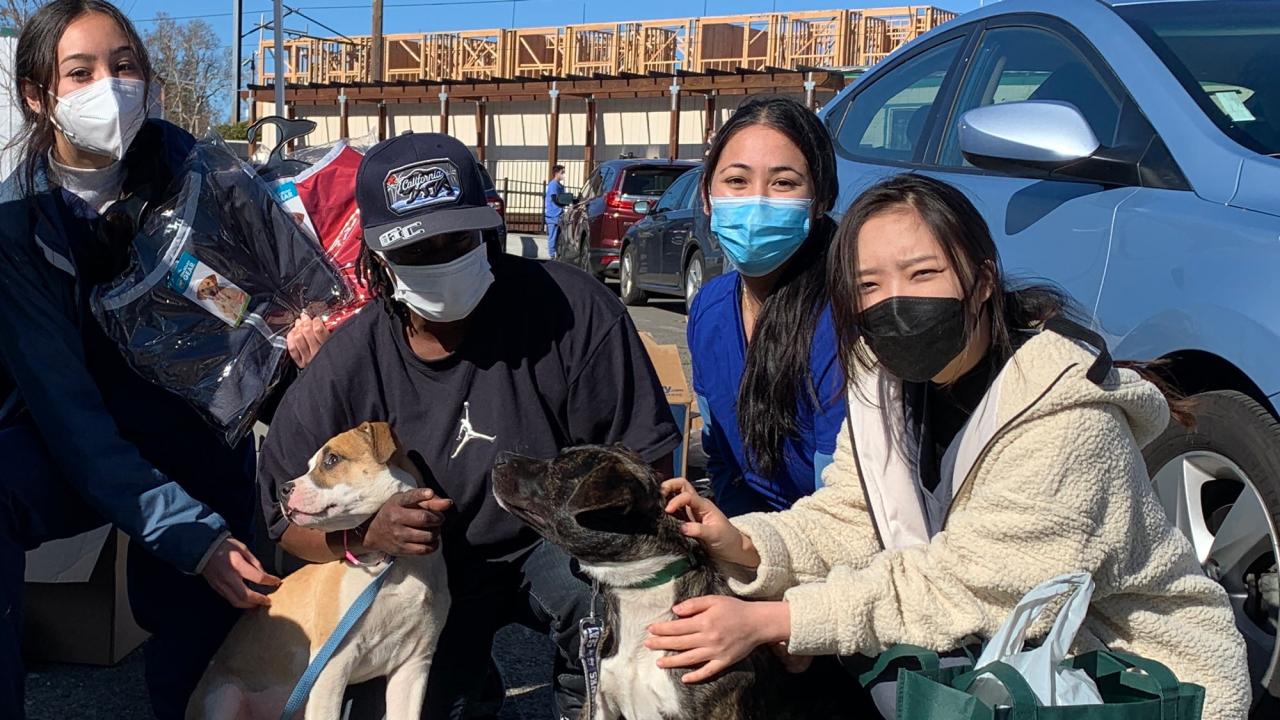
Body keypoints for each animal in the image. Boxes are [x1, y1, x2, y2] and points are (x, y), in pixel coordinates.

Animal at [186, 420, 450, 717]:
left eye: (331, 459)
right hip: (224, 699)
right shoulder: (332, 664)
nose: (283, 490)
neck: (396, 564)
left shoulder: (413, 666)